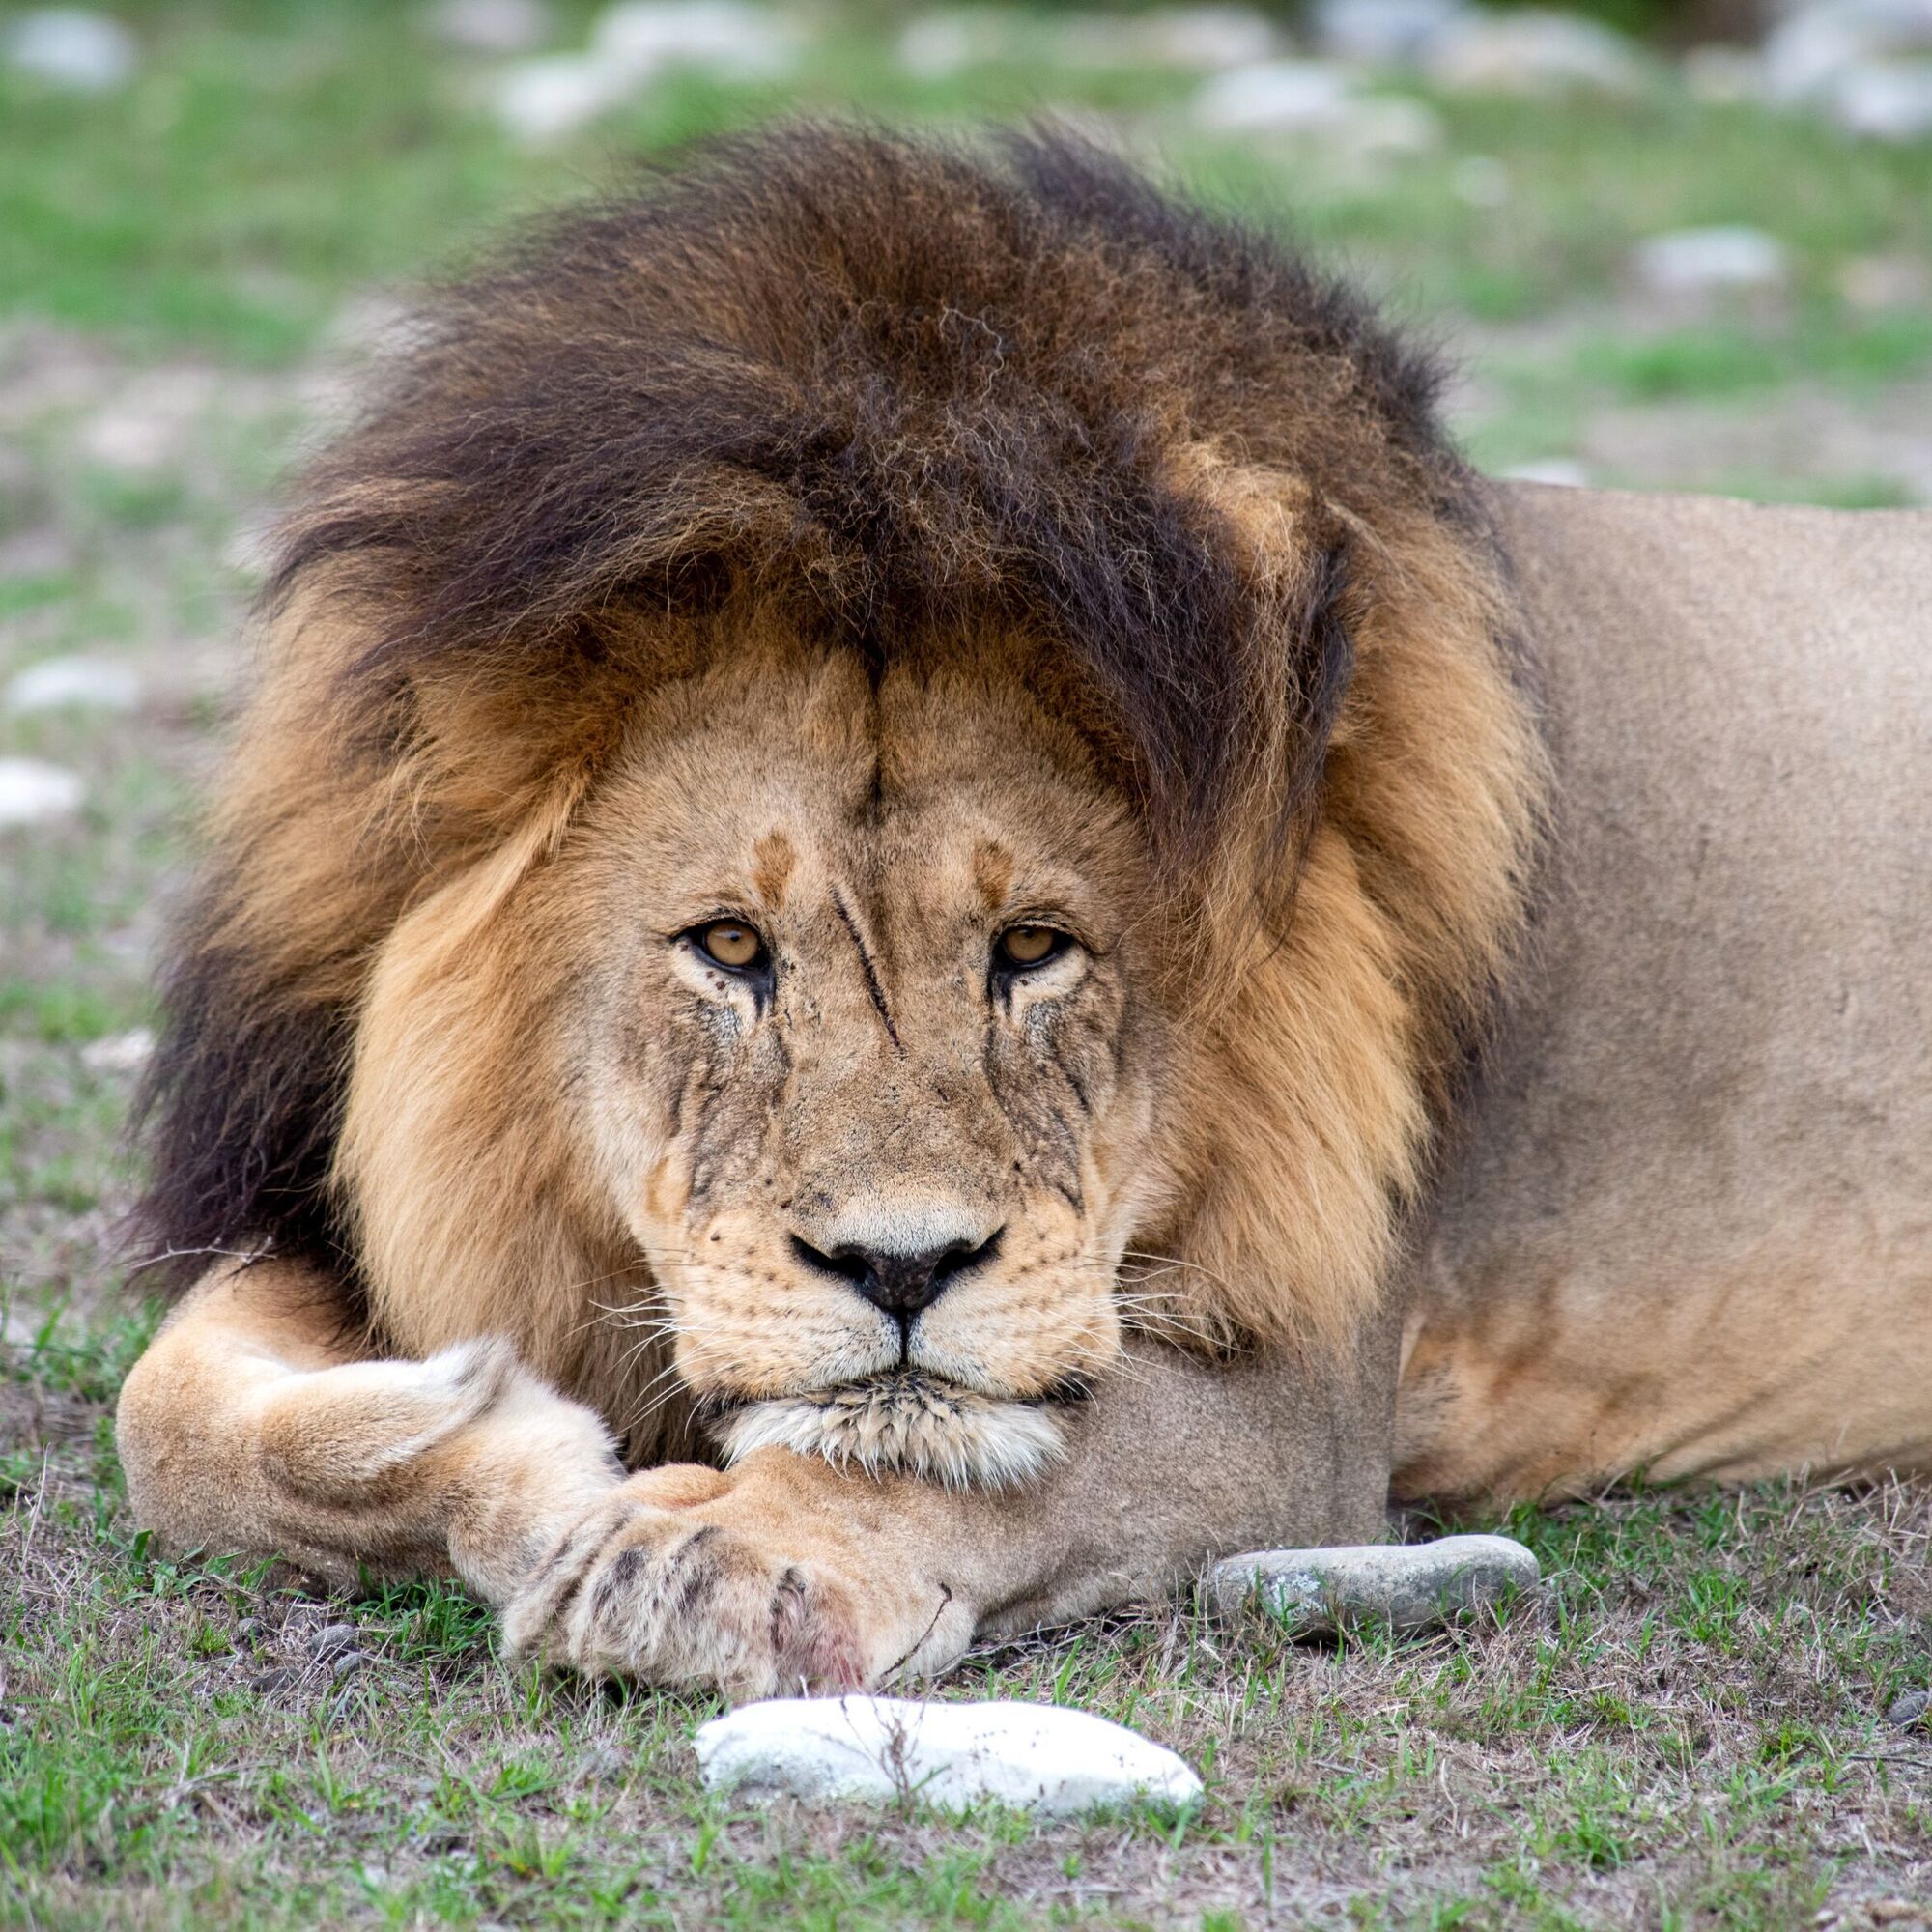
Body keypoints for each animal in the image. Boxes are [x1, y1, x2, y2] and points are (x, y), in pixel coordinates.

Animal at [114, 126, 1931, 1697]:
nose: (902, 1268)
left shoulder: (1309, 1388)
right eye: (730, 947)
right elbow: (165, 1412)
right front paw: (495, 1441)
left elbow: (1005, 1458)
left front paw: (720, 1562)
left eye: (1036, 948)